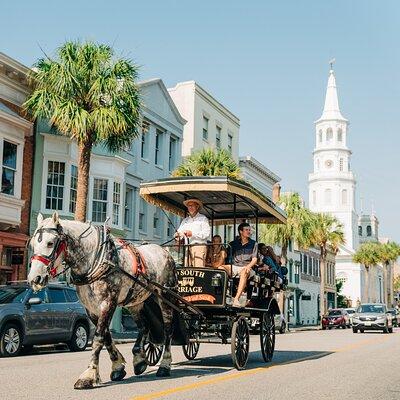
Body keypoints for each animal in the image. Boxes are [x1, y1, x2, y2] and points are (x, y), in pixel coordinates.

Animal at [27, 211, 177, 390]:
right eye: (32, 244)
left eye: (50, 243)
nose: (35, 278)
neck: (95, 260)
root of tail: (164, 251)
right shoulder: (91, 308)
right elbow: (106, 335)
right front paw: (118, 366)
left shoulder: (108, 302)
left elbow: (98, 337)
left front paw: (88, 375)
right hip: (135, 302)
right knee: (144, 326)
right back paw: (139, 360)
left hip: (166, 296)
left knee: (168, 330)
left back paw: (165, 365)